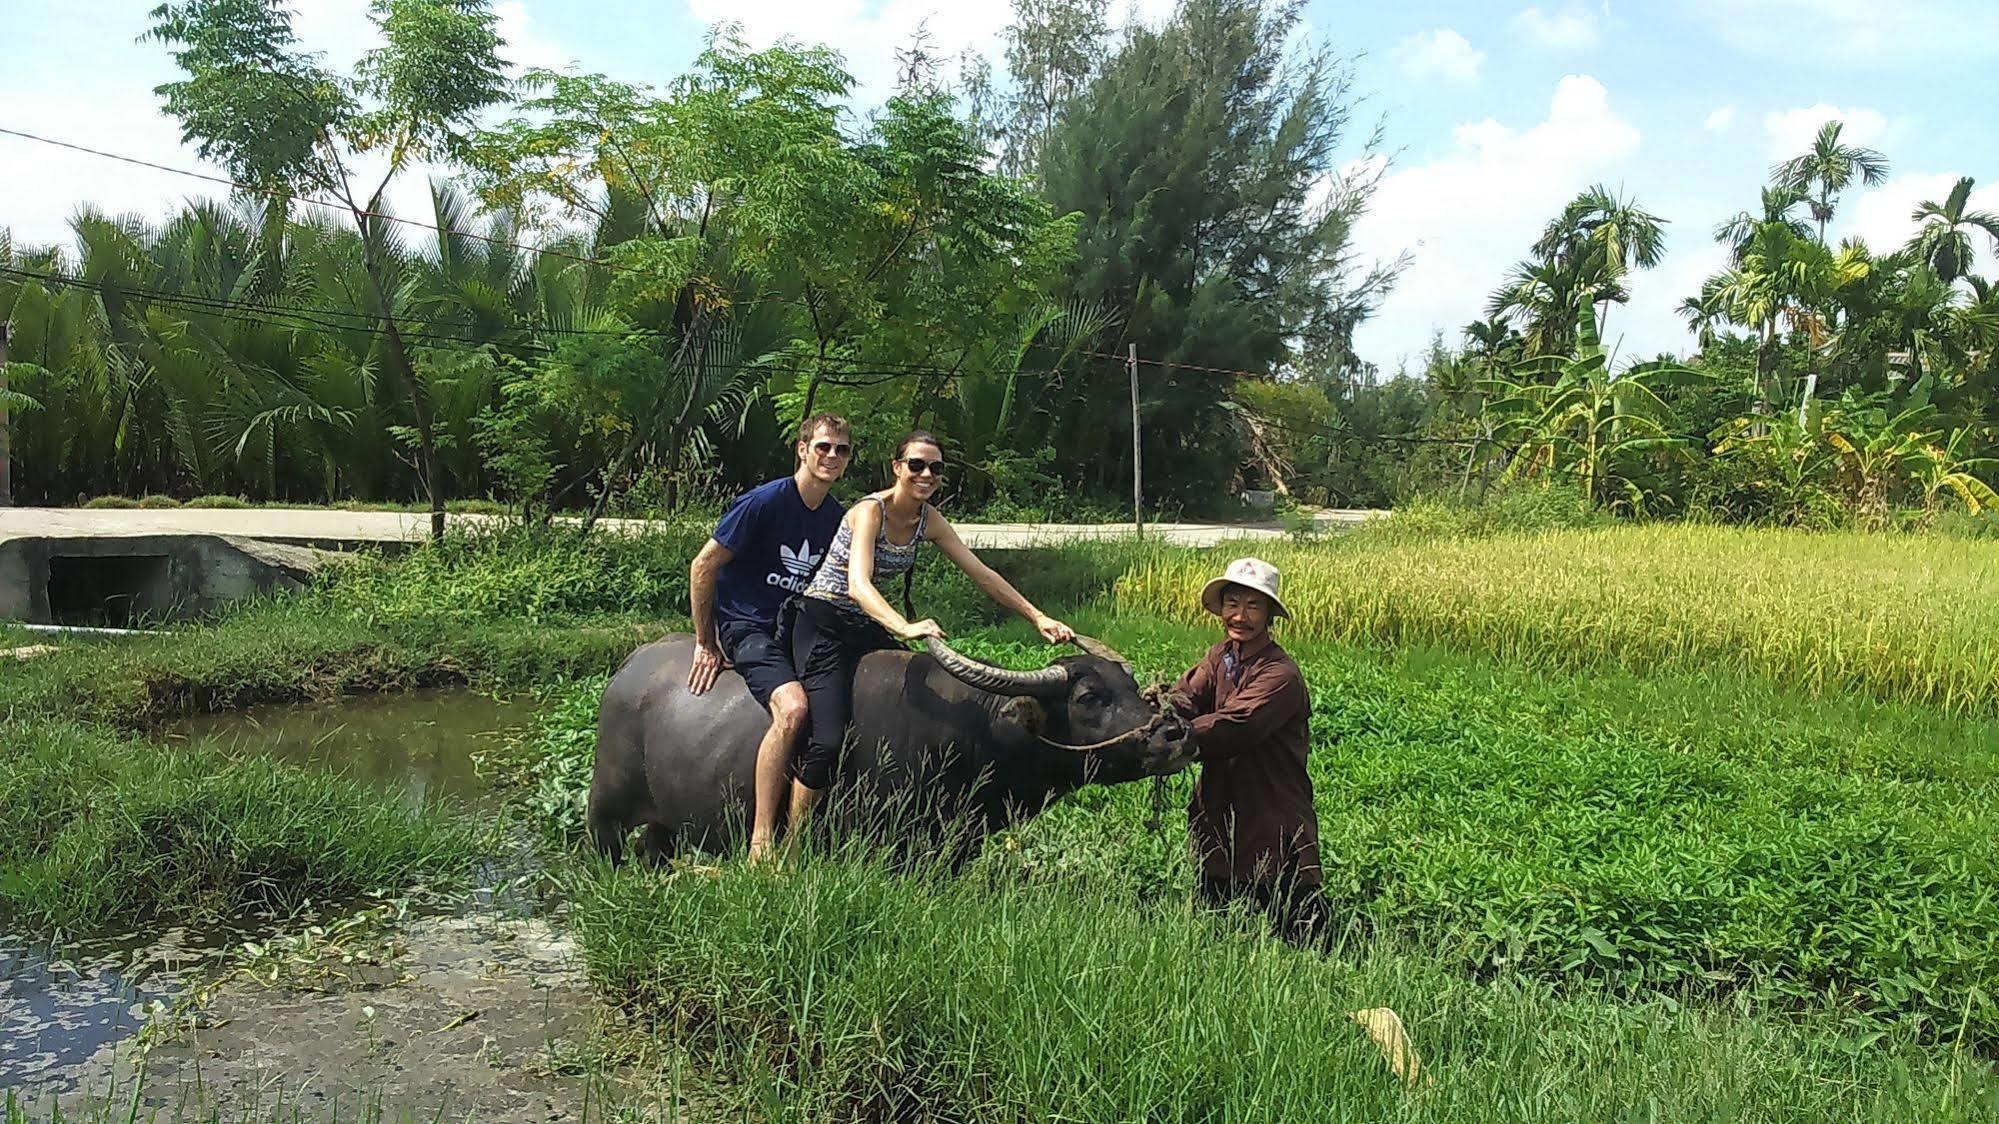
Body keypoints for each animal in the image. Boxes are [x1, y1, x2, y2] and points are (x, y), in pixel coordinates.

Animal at [583, 636, 1191, 860]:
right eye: (1089, 697)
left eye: (1133, 687)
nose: (1173, 733)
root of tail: (628, 669)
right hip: (605, 811)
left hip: (667, 825)